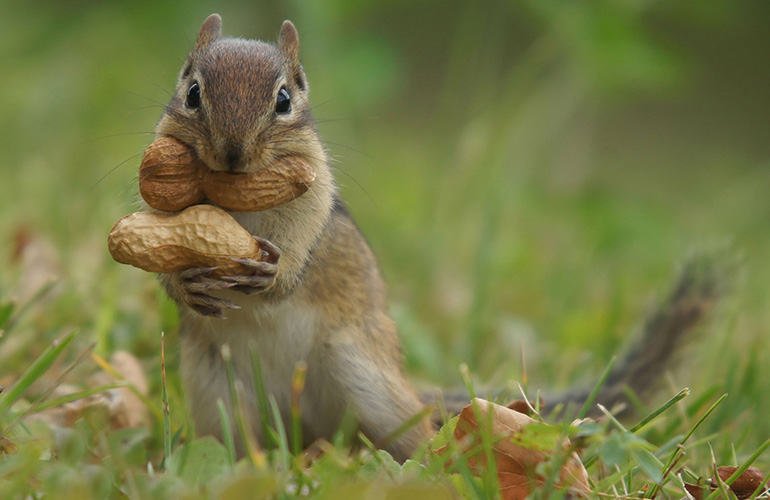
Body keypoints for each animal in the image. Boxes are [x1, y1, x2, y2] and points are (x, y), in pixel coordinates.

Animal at [151, 14, 723, 462]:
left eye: (285, 99)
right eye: (193, 92)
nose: (232, 154)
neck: (235, 201)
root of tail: (302, 426)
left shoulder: (315, 200)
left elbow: (300, 249)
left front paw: (275, 274)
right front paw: (185, 285)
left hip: (368, 381)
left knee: (416, 437)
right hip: (217, 396)